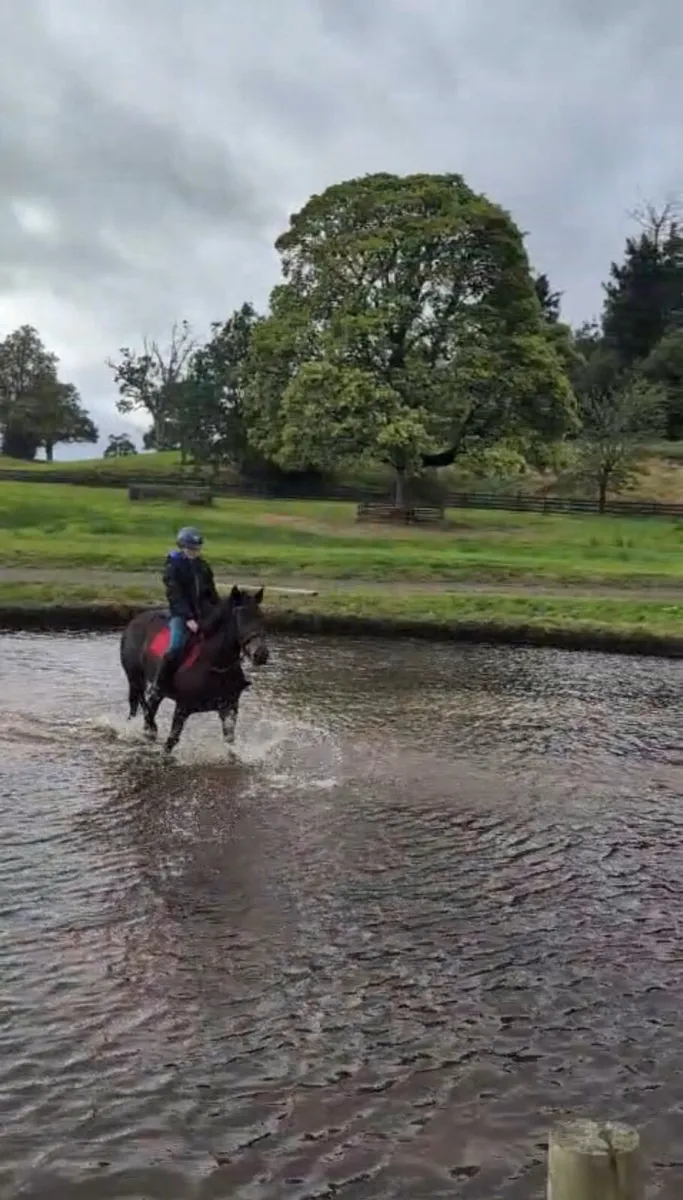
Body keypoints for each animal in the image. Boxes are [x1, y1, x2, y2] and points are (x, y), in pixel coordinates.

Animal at [120, 585, 269, 754]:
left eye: (261, 617)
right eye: (242, 618)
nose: (261, 654)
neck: (213, 664)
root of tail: (134, 621)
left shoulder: (229, 709)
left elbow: (229, 741)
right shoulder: (182, 708)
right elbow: (171, 742)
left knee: (149, 706)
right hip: (135, 678)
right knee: (136, 704)